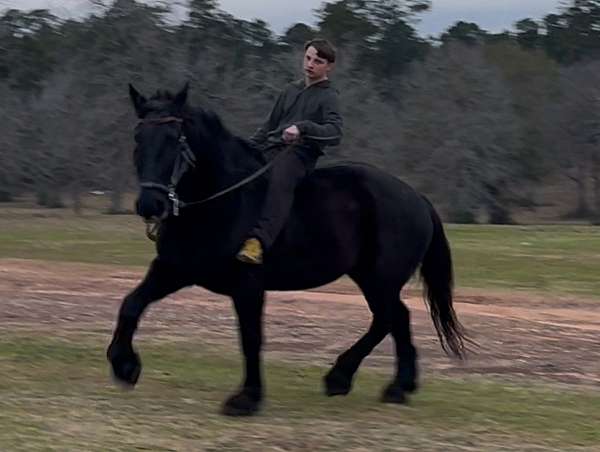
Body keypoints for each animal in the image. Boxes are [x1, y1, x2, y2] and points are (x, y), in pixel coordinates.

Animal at [105, 84, 466, 416]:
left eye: (173, 138)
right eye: (139, 137)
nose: (149, 204)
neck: (223, 199)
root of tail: (416, 197)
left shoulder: (248, 285)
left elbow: (251, 337)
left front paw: (246, 398)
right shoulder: (173, 269)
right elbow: (131, 304)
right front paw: (124, 366)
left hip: (381, 279)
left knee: (390, 318)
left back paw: (371, 382)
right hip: (370, 278)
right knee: (393, 318)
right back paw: (378, 384)